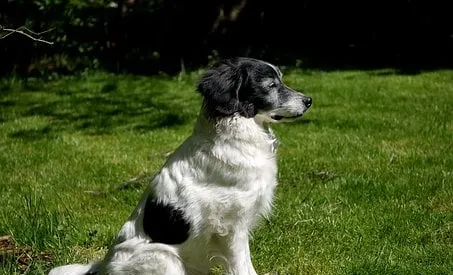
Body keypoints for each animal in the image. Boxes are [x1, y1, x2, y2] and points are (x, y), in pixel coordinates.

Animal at [48, 57, 310, 274]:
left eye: (280, 80)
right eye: (270, 85)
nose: (309, 100)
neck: (233, 133)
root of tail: (103, 266)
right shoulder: (231, 229)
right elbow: (243, 267)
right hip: (164, 258)